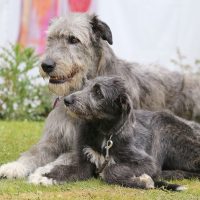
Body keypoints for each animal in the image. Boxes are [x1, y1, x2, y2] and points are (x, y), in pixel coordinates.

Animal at [43, 76, 200, 189]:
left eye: (98, 92)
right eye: (84, 86)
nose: (66, 100)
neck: (104, 132)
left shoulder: (147, 162)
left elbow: (111, 169)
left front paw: (144, 181)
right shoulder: (84, 160)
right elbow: (73, 169)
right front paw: (48, 176)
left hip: (162, 123)